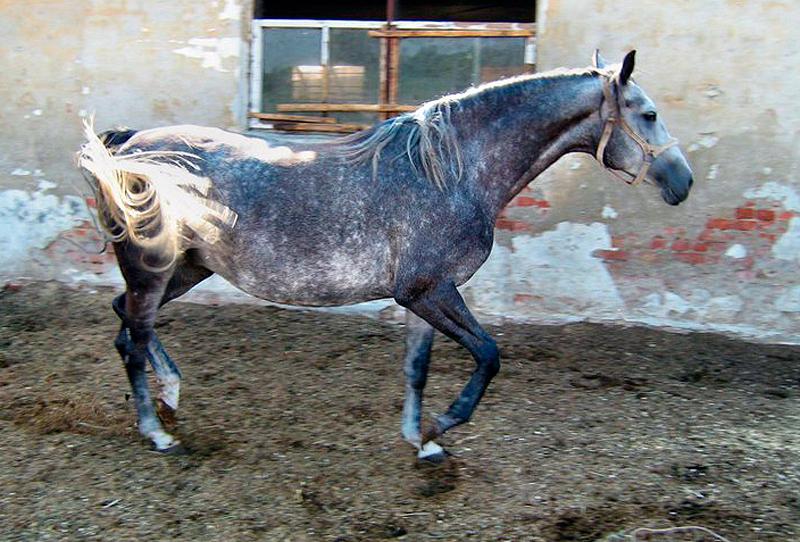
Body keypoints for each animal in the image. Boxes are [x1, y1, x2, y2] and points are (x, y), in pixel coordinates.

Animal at [78, 50, 693, 461]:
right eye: (649, 113)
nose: (682, 182)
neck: (452, 172)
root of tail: (129, 145)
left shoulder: (425, 296)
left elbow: (417, 367)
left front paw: (420, 440)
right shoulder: (428, 291)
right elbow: (489, 354)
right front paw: (444, 424)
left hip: (185, 268)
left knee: (125, 323)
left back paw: (171, 394)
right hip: (154, 271)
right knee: (133, 336)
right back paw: (157, 430)